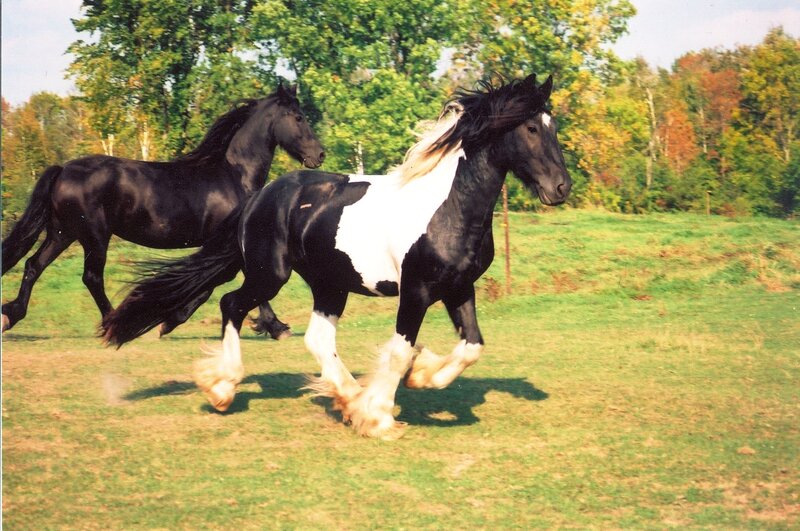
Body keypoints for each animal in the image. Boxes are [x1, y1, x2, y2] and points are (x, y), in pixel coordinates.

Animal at [2, 83, 324, 338]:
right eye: (298, 117)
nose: (319, 154)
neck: (233, 175)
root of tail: (63, 170)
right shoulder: (229, 244)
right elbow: (226, 285)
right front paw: (276, 327)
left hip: (62, 232)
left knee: (33, 265)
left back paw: (11, 315)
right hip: (94, 237)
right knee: (91, 277)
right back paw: (112, 322)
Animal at [101, 73, 572, 439]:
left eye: (553, 125)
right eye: (531, 129)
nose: (561, 187)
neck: (448, 207)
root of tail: (260, 197)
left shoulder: (459, 287)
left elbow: (472, 346)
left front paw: (420, 377)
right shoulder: (416, 290)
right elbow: (400, 351)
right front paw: (379, 416)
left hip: (330, 283)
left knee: (316, 338)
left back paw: (347, 397)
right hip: (270, 274)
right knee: (232, 304)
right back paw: (223, 389)